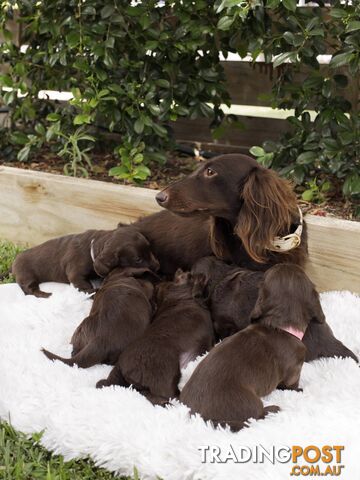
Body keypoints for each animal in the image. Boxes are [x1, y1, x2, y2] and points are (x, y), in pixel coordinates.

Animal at [11, 225, 158, 296]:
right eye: (138, 259)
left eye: (150, 248)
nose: (158, 266)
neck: (92, 249)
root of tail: (14, 263)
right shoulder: (76, 274)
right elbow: (85, 286)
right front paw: (93, 291)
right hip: (26, 275)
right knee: (29, 290)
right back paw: (44, 294)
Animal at [180, 264, 324, 434]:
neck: (279, 325)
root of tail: (197, 415)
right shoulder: (294, 371)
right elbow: (291, 385)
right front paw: (298, 390)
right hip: (249, 401)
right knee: (255, 416)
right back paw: (272, 409)